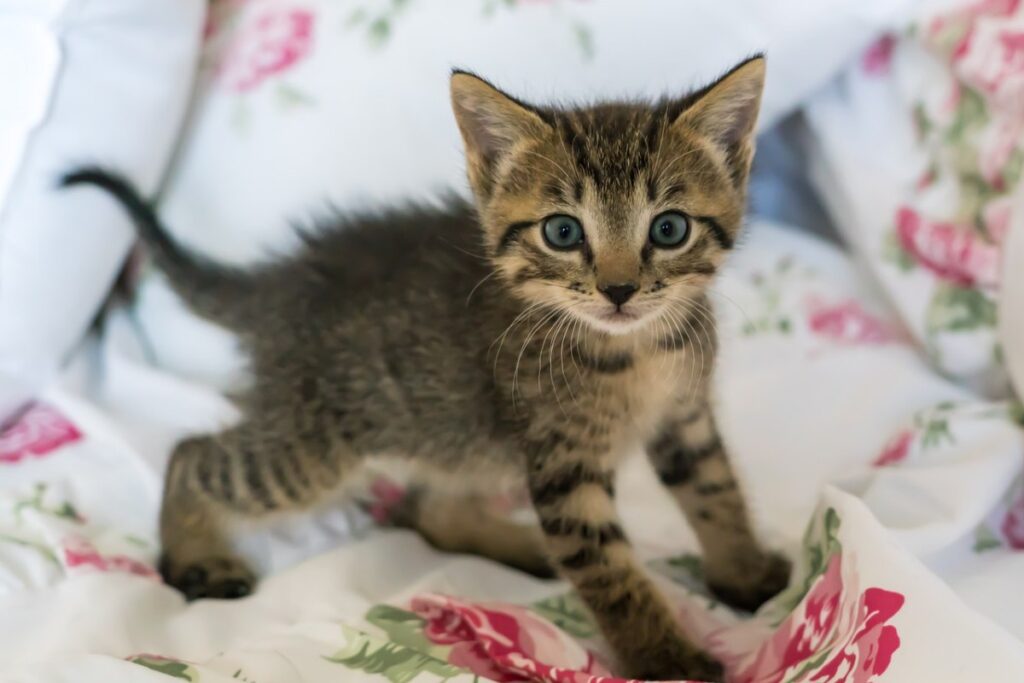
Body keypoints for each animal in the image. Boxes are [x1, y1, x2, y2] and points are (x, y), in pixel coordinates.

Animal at [66, 56, 790, 679]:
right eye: (562, 232)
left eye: (669, 229)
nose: (618, 290)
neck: (637, 351)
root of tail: (285, 282)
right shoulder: (563, 463)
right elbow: (610, 570)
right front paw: (668, 657)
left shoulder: (685, 419)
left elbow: (718, 492)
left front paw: (745, 574)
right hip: (316, 445)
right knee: (195, 454)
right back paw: (195, 557)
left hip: (453, 431)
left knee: (431, 505)